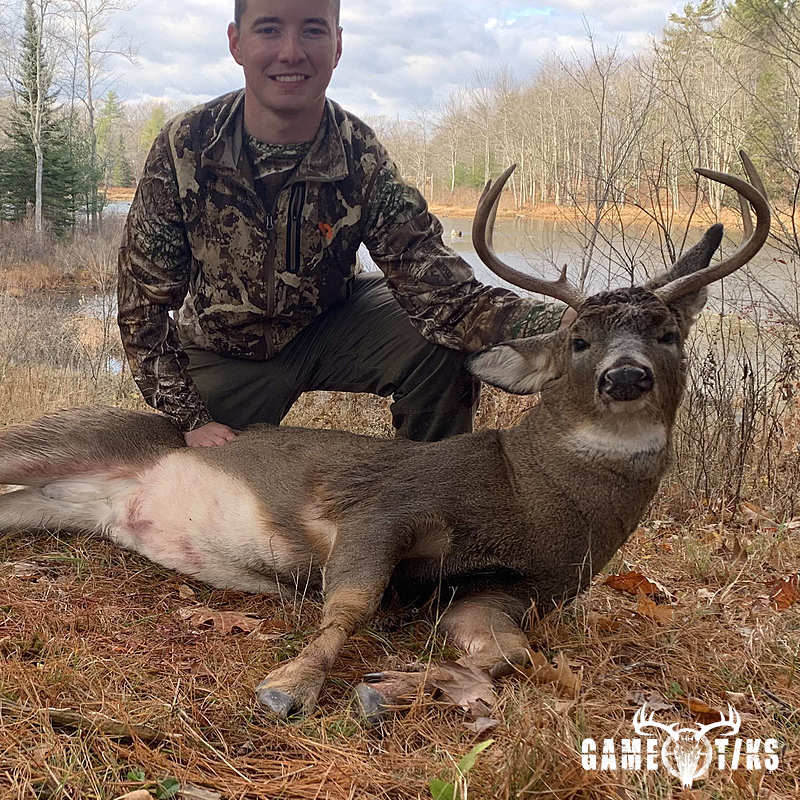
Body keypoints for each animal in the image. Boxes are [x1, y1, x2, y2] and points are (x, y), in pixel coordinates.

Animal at [0, 152, 770, 721]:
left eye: (668, 335)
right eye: (578, 341)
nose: (626, 377)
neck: (530, 493)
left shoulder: (505, 592)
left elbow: (508, 656)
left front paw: (394, 691)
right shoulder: (385, 506)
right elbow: (352, 604)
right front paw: (289, 685)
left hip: (53, 504)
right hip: (65, 435)